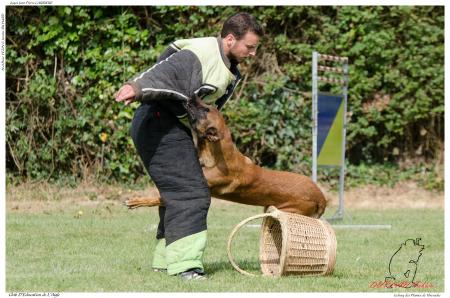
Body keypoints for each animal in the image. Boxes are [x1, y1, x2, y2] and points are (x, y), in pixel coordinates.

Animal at [125, 99, 326, 218]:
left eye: (205, 109)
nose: (190, 97)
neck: (216, 155)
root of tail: (321, 197)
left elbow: (159, 197)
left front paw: (135, 201)